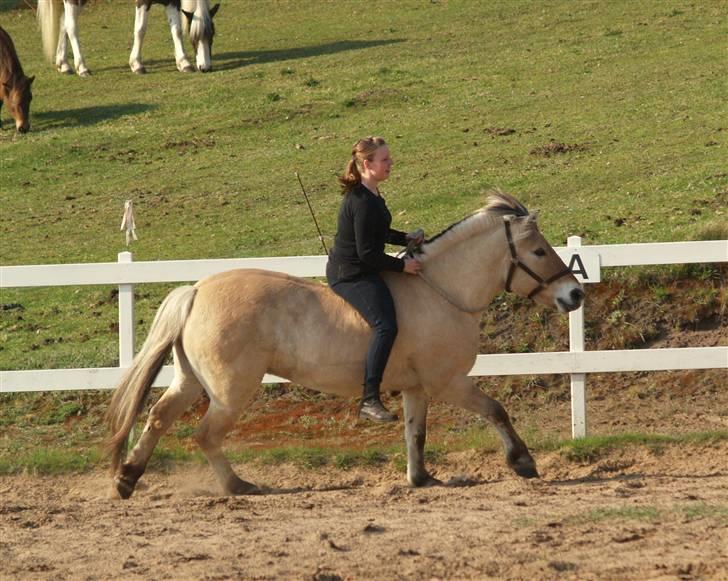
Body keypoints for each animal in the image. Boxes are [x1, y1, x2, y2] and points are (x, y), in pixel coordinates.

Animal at [37, 0, 219, 76]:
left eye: (211, 37)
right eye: (194, 38)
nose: (205, 68)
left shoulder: (172, 1)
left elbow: (176, 30)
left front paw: (183, 63)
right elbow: (140, 29)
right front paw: (136, 64)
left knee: (63, 22)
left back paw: (64, 65)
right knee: (71, 26)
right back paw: (82, 68)